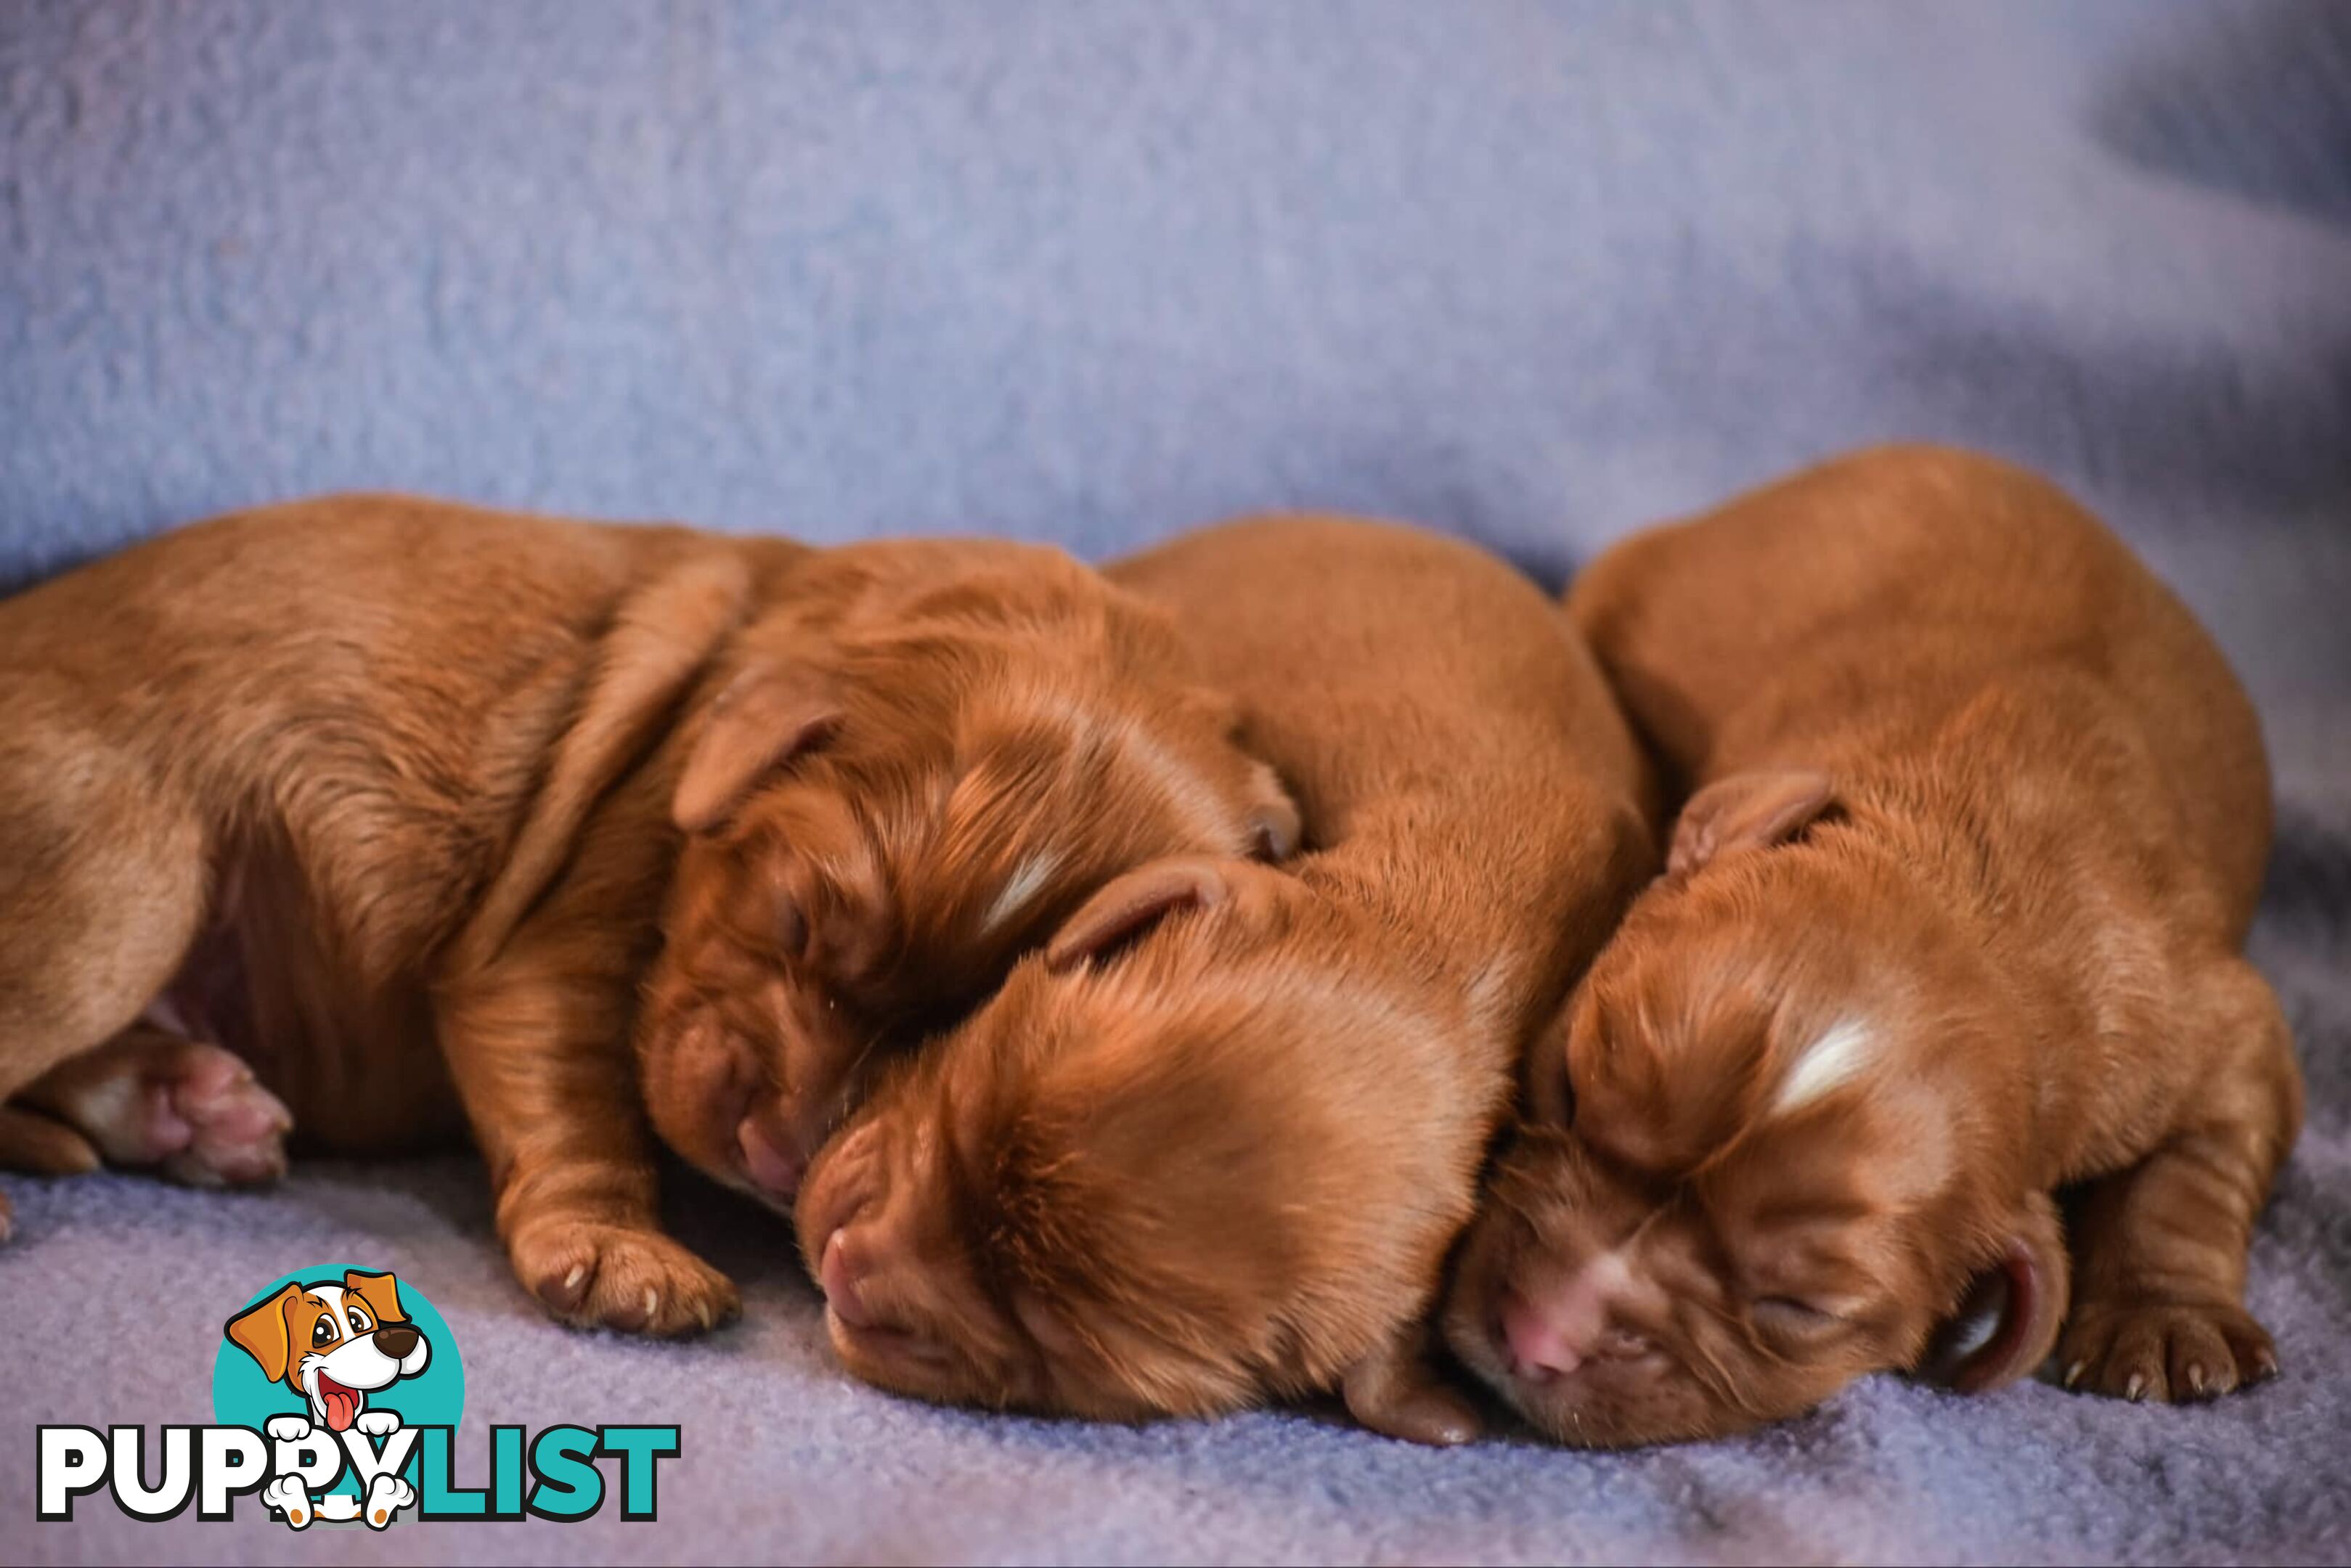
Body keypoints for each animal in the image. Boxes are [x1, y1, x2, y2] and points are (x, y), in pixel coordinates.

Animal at [0, 496, 1297, 1335]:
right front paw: (617, 1250)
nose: (775, 1154)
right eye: (793, 920)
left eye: (956, 1042)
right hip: (123, 876)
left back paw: (180, 1104)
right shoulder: (575, 903)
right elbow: (575, 1092)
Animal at [1438, 441, 2304, 1447]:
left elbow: (2196, 1164)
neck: (1967, 890)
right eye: (1569, 1090)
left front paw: (2166, 1320)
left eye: (1798, 1307)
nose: (1540, 1333)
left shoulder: (2203, 1024)